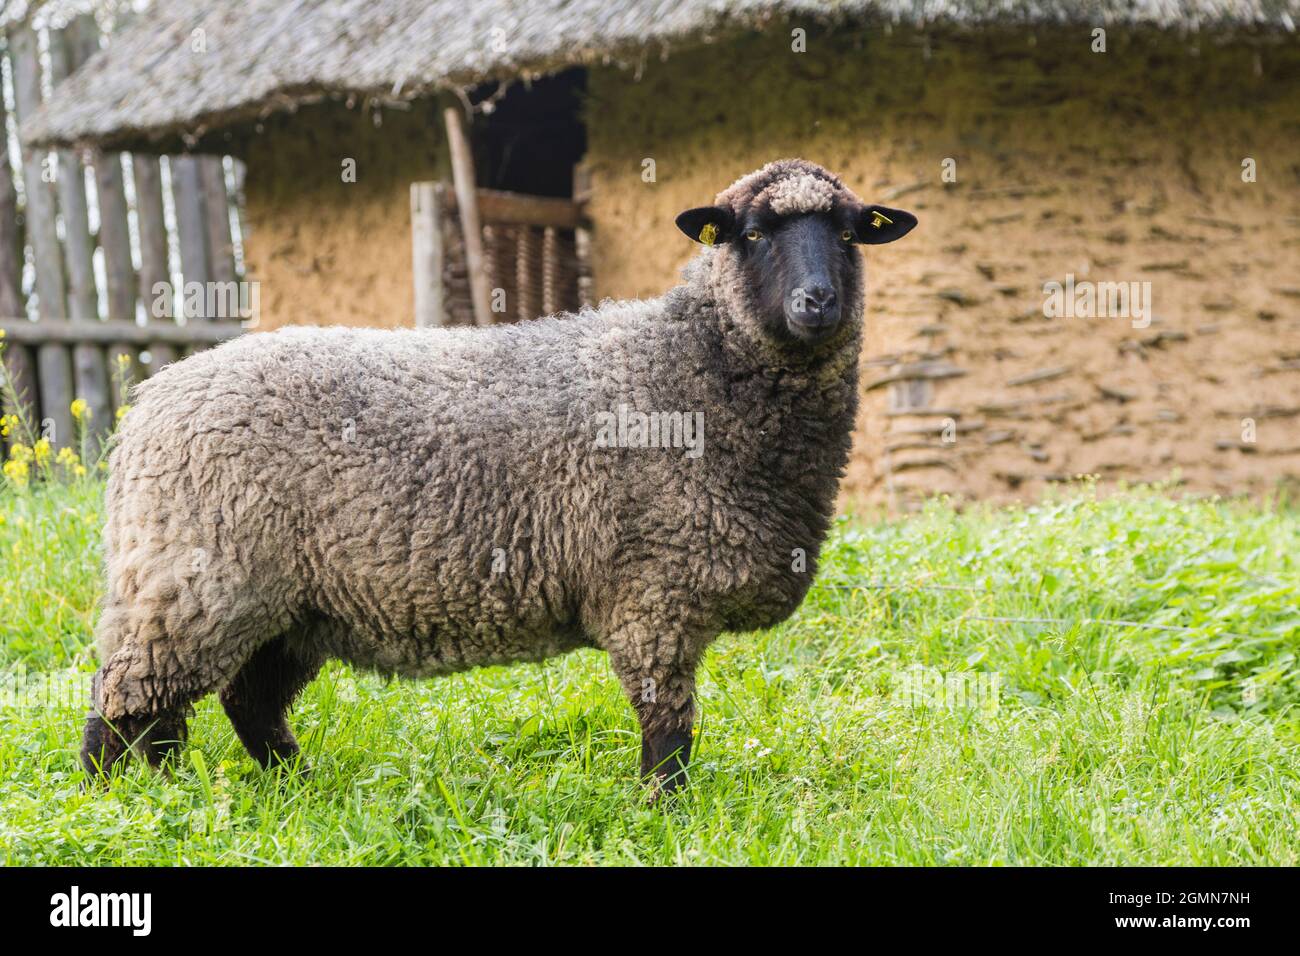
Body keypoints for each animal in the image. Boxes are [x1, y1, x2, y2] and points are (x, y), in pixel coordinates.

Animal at [81, 160, 920, 796]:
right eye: (751, 235)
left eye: (852, 234)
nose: (818, 302)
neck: (691, 365)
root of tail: (150, 401)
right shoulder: (653, 595)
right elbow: (669, 729)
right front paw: (666, 813)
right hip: (196, 582)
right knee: (127, 700)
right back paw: (122, 804)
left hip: (290, 603)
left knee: (238, 703)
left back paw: (286, 786)